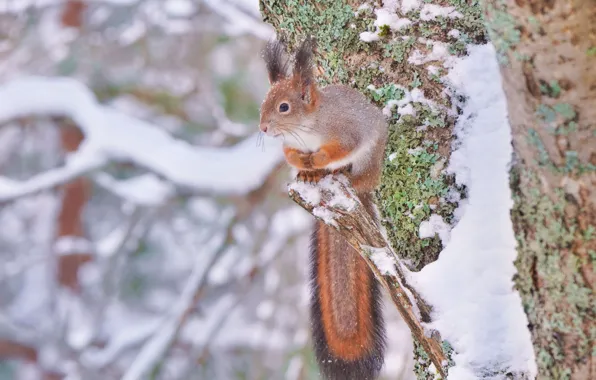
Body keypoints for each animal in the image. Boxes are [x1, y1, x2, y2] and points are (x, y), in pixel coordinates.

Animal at [258, 37, 388, 380]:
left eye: (284, 107)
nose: (262, 128)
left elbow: (340, 148)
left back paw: (339, 174)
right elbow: (289, 153)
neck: (307, 130)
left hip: (368, 163)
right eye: (264, 102)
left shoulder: (346, 132)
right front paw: (302, 163)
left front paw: (318, 159)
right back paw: (310, 175)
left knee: (355, 173)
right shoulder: (290, 144)